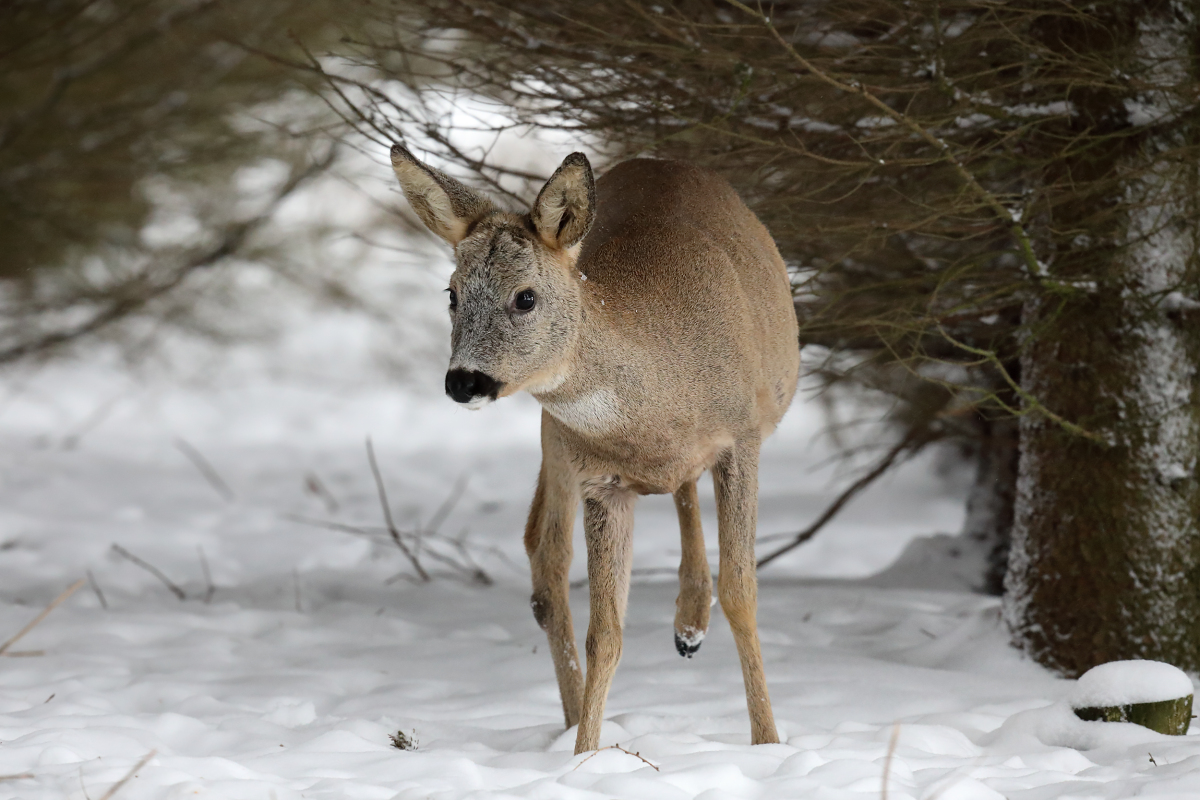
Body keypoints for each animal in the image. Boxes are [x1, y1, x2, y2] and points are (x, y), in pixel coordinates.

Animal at [393, 145, 801, 758]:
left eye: (526, 297)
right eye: (452, 294)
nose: (464, 381)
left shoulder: (742, 440)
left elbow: (742, 594)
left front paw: (768, 742)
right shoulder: (598, 480)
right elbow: (604, 632)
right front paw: (584, 756)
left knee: (672, 496)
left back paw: (689, 624)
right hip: (555, 440)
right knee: (546, 553)